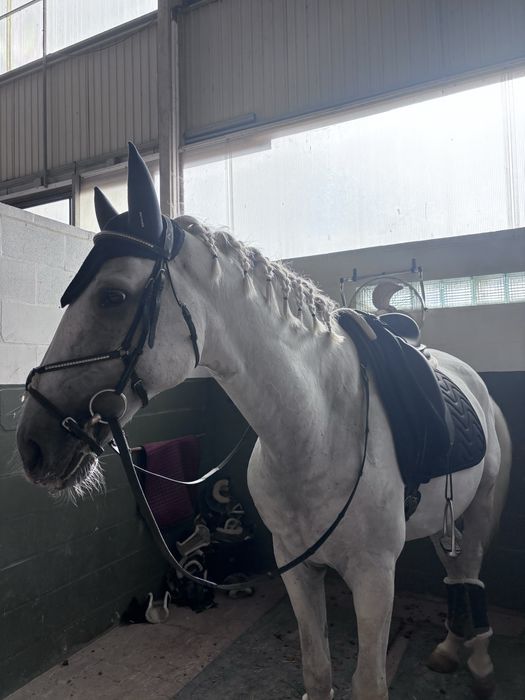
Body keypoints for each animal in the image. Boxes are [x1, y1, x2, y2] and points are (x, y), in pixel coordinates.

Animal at [16, 144, 512, 700]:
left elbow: (368, 681)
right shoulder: (296, 566)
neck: (318, 431)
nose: (31, 444)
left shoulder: (374, 576)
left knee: (470, 568)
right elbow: (317, 672)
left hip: (480, 509)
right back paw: (450, 647)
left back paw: (479, 661)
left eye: (113, 296)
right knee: (456, 570)